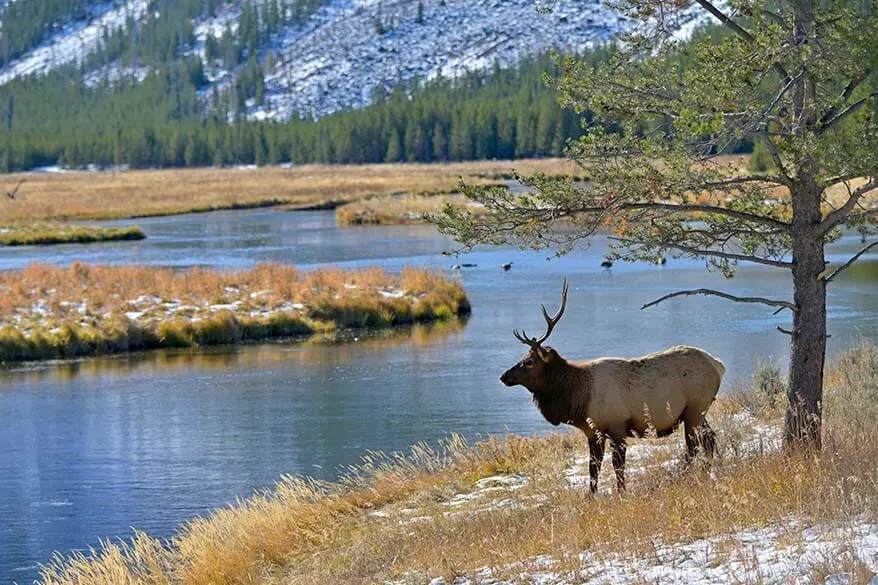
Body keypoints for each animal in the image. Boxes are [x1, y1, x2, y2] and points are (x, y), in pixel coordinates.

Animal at [502, 280, 728, 490]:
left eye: (529, 362)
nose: (504, 377)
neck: (578, 399)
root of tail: (718, 365)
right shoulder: (593, 431)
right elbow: (593, 467)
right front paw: (591, 496)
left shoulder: (617, 424)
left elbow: (617, 464)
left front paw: (621, 492)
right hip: (696, 411)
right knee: (709, 438)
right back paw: (707, 471)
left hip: (695, 408)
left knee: (694, 445)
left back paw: (684, 475)